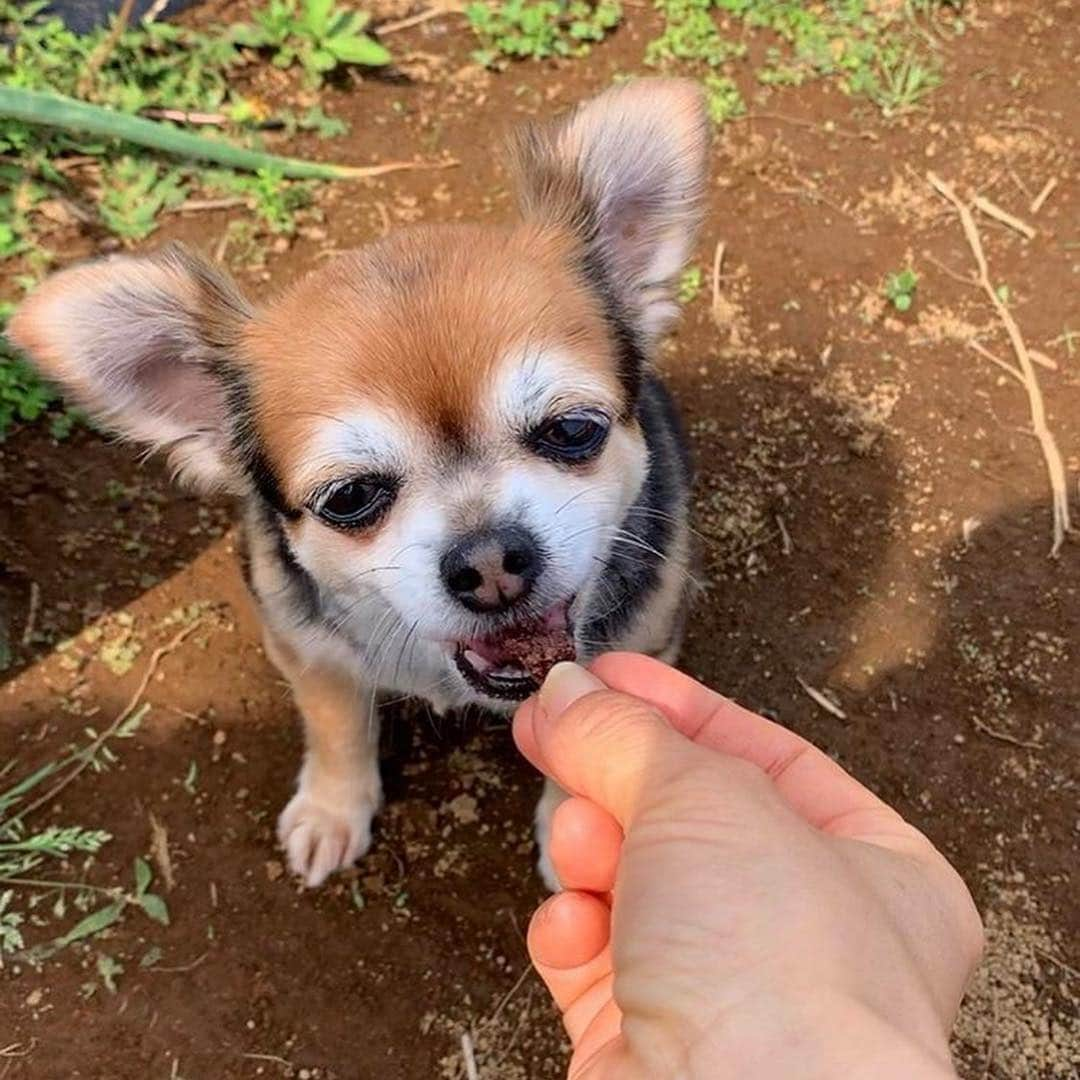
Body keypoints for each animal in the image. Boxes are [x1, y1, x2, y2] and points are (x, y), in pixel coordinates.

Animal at [8, 76, 708, 885]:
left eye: (572, 431)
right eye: (350, 498)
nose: (490, 564)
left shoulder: (632, 653)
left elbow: (582, 756)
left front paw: (576, 840)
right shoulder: (308, 649)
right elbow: (337, 725)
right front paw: (333, 809)